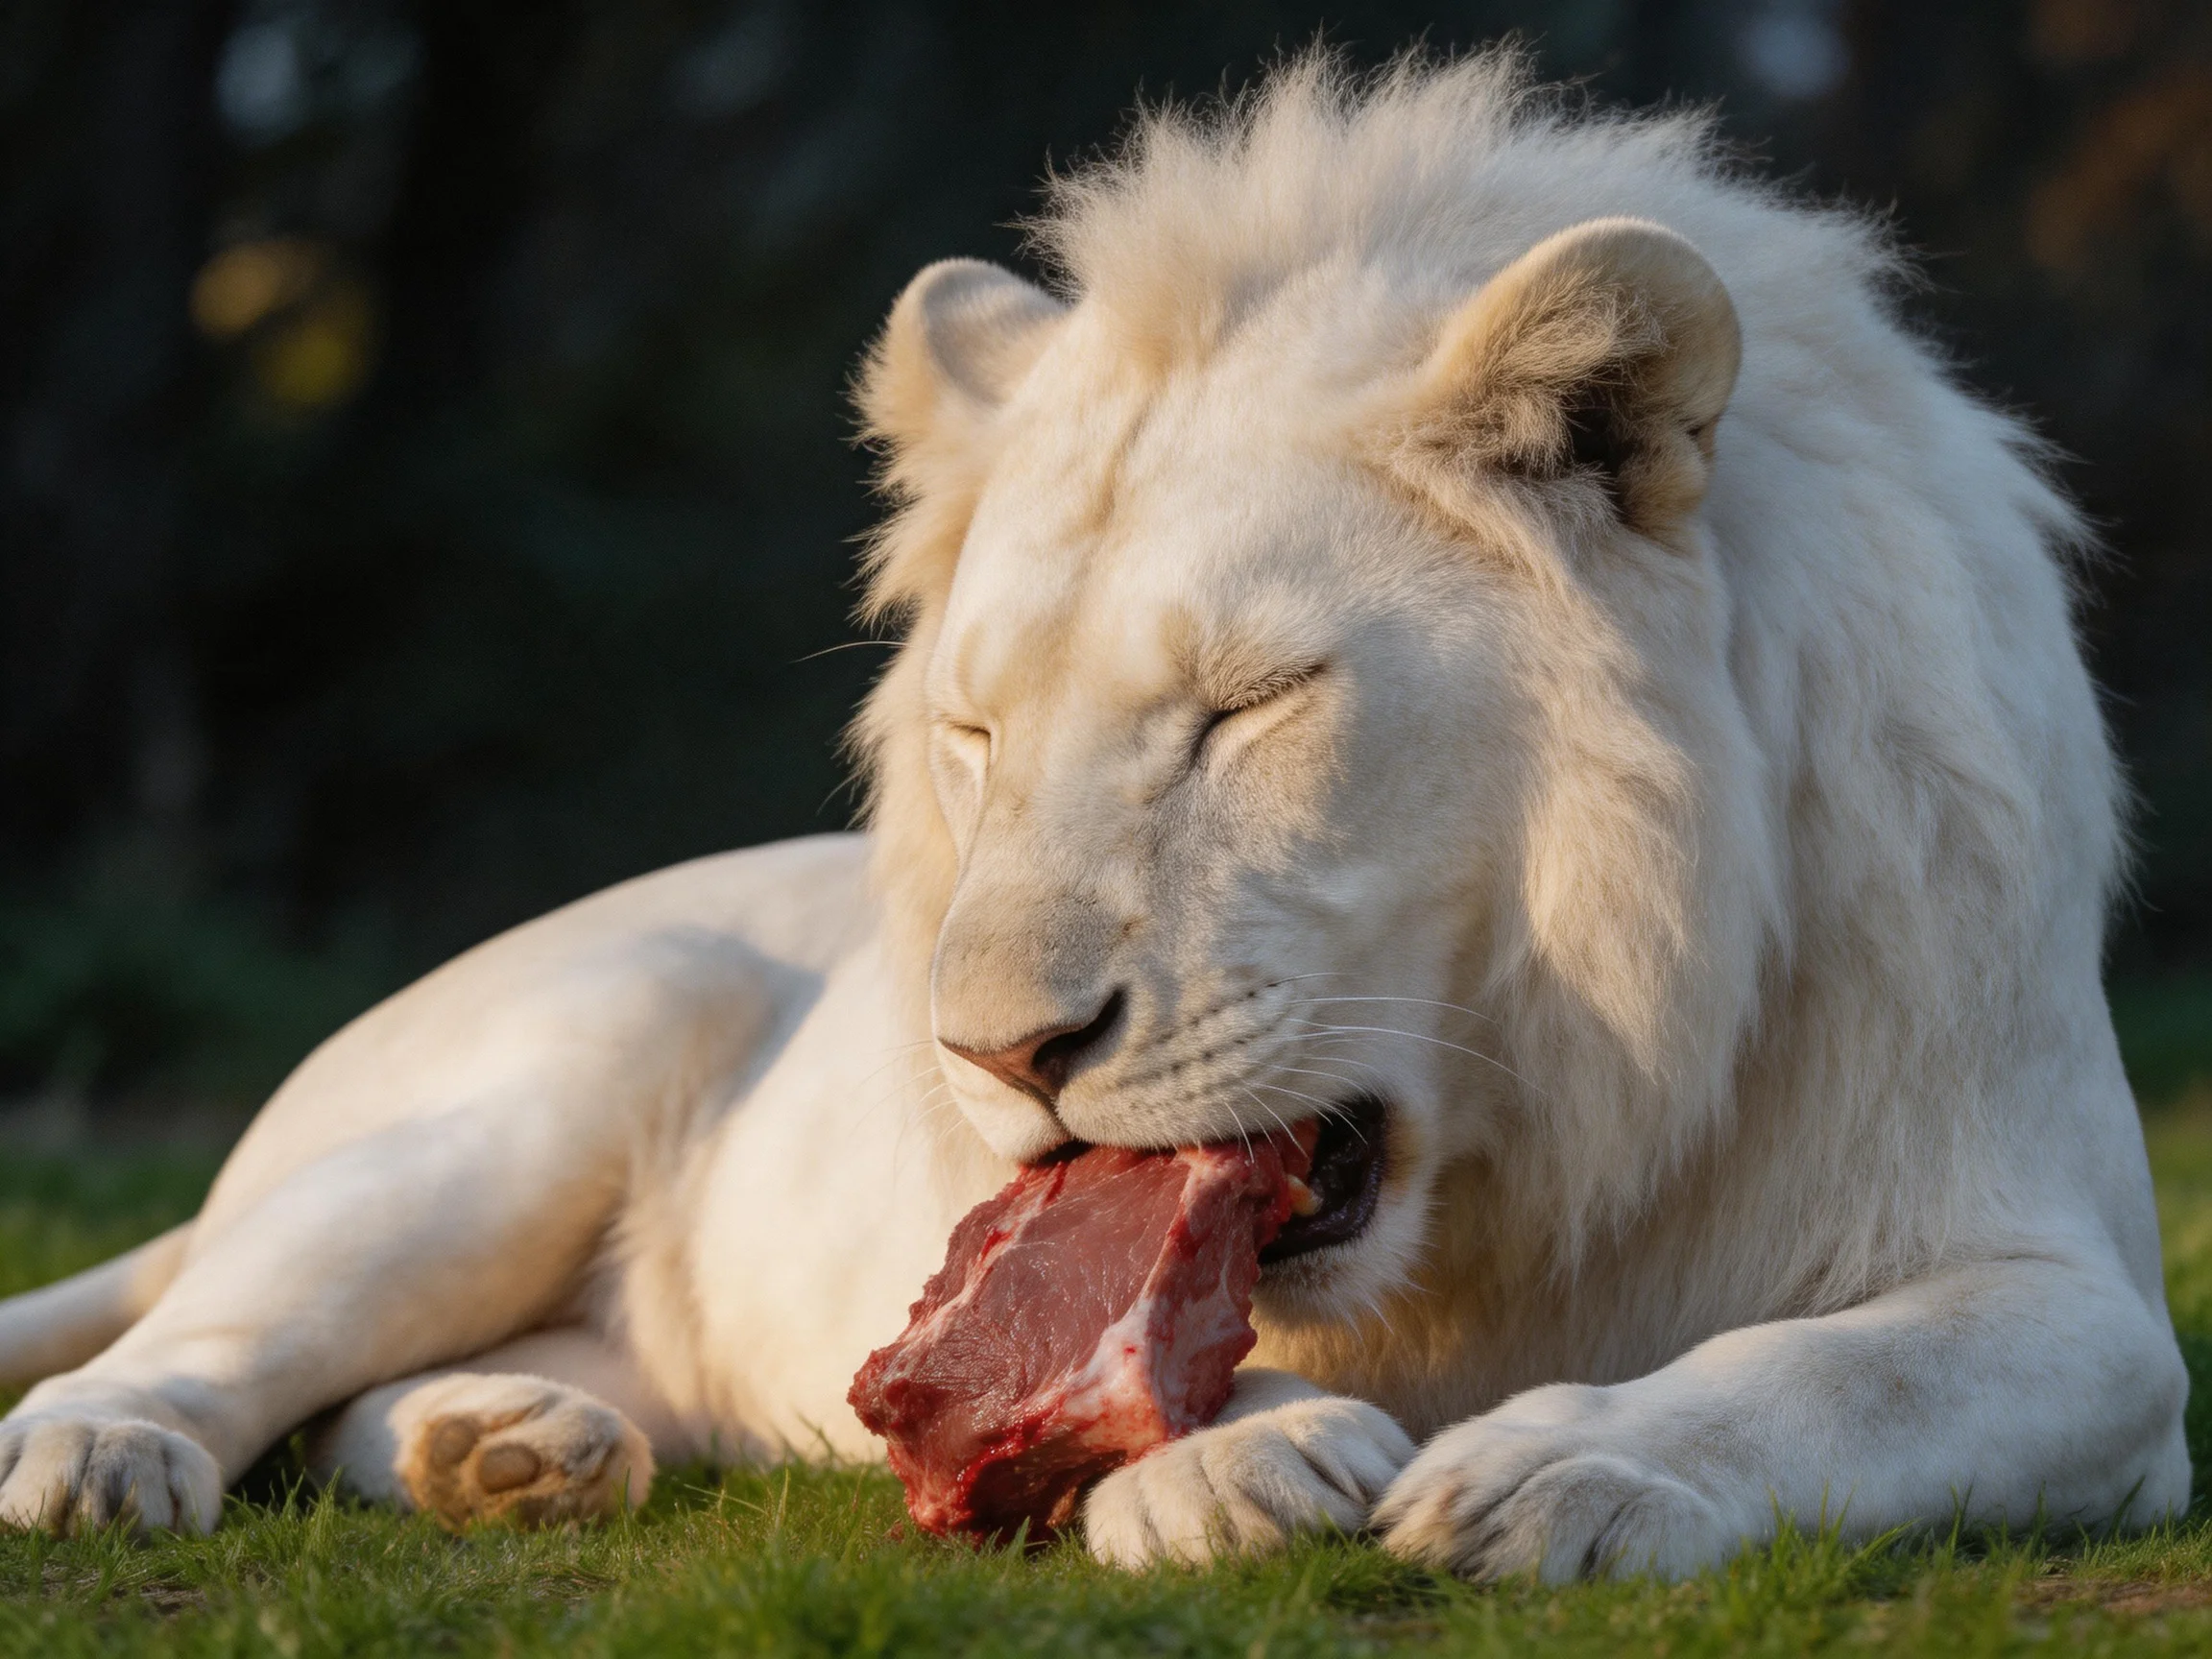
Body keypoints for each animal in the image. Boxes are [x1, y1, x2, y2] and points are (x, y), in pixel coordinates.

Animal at [0, 54, 2185, 1578]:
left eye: (1245, 707)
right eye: (977, 732)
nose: (996, 1057)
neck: (1561, 1104)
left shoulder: (2084, 1306)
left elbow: (1841, 1363)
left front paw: (1573, 1460)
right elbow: (1145, 1378)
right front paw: (1255, 1450)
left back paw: (511, 1448)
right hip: (528, 1083)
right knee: (207, 1341)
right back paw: (111, 1454)